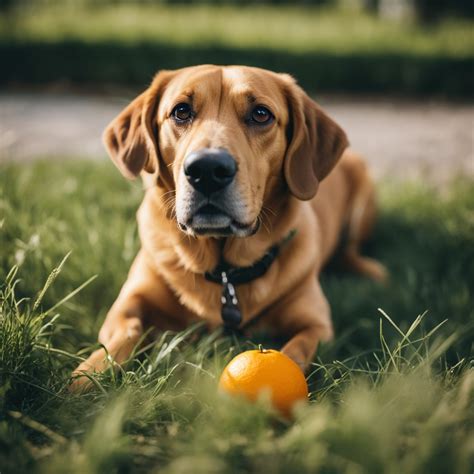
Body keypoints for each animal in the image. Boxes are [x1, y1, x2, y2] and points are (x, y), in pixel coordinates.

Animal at [71, 64, 388, 388]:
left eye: (261, 114)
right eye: (181, 111)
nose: (207, 170)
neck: (225, 272)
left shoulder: (316, 325)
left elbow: (293, 354)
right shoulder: (128, 304)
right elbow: (123, 334)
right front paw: (86, 378)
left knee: (350, 250)